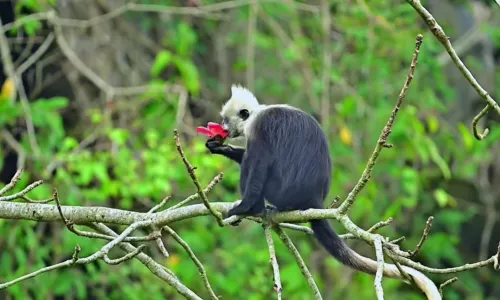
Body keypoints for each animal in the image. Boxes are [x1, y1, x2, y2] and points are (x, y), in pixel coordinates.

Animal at [206, 85, 442, 300]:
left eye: (226, 120)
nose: (223, 128)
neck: (256, 114)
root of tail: (314, 197)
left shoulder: (260, 130)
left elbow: (258, 166)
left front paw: (246, 207)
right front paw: (220, 148)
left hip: (278, 188)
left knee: (254, 165)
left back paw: (254, 208)